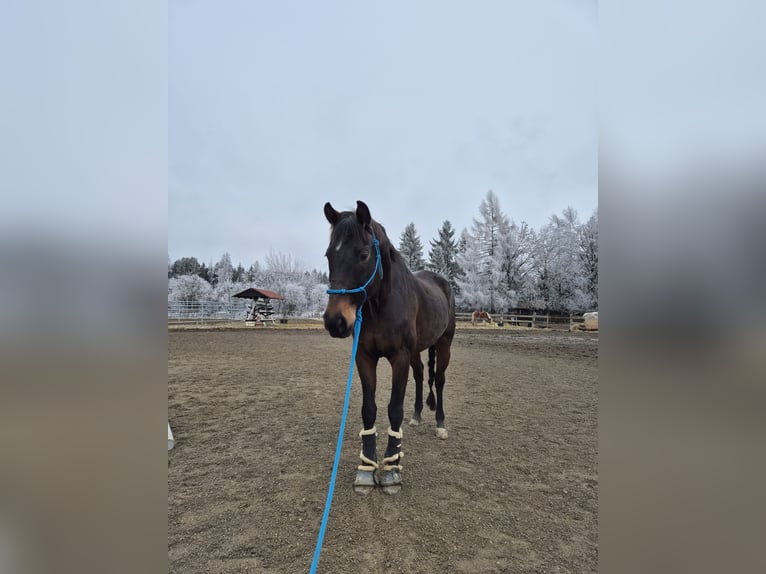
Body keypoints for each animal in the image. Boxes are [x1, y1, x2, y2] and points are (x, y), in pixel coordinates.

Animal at [323, 200, 456, 495]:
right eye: (328, 256)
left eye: (363, 255)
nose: (335, 321)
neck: (380, 304)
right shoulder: (364, 357)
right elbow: (369, 409)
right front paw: (366, 469)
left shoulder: (399, 358)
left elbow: (394, 408)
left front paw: (392, 469)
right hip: (417, 352)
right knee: (420, 375)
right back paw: (417, 416)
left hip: (444, 344)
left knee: (439, 380)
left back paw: (440, 424)